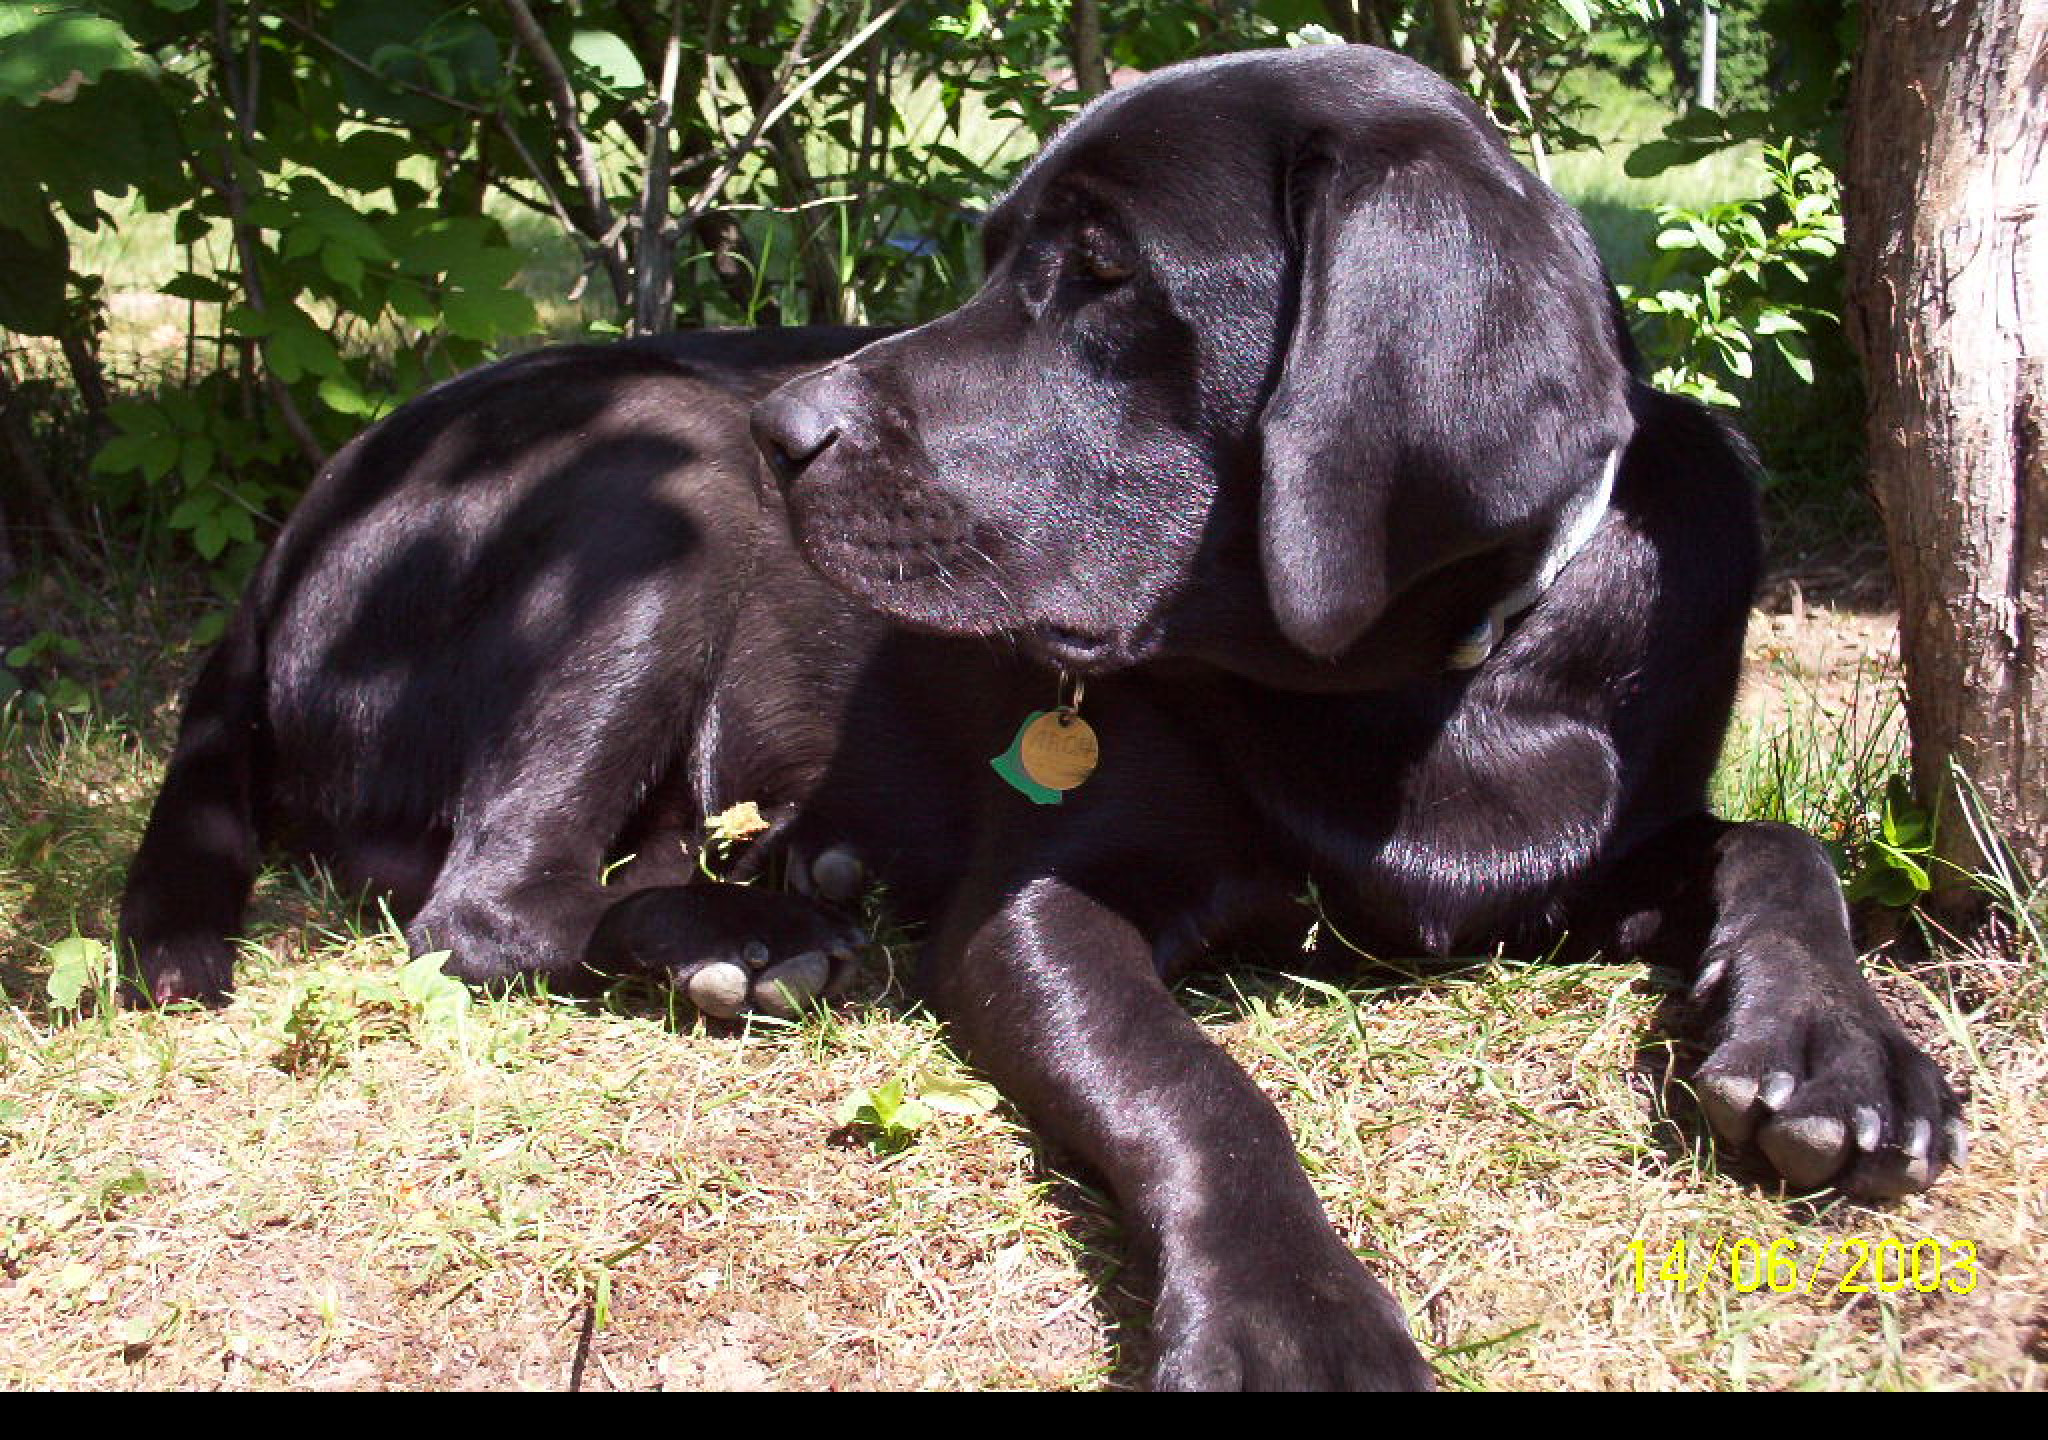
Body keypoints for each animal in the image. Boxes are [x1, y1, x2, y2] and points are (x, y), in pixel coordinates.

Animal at [119, 45, 1957, 1392]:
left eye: (1102, 274)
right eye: (1004, 258)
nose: (789, 425)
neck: (1414, 697)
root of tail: (296, 525)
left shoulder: (1604, 841)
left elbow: (1778, 846)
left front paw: (1833, 1053)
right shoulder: (1040, 905)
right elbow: (1197, 1087)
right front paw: (1290, 1316)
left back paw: (763, 920)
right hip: (658, 472)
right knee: (487, 919)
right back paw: (754, 941)